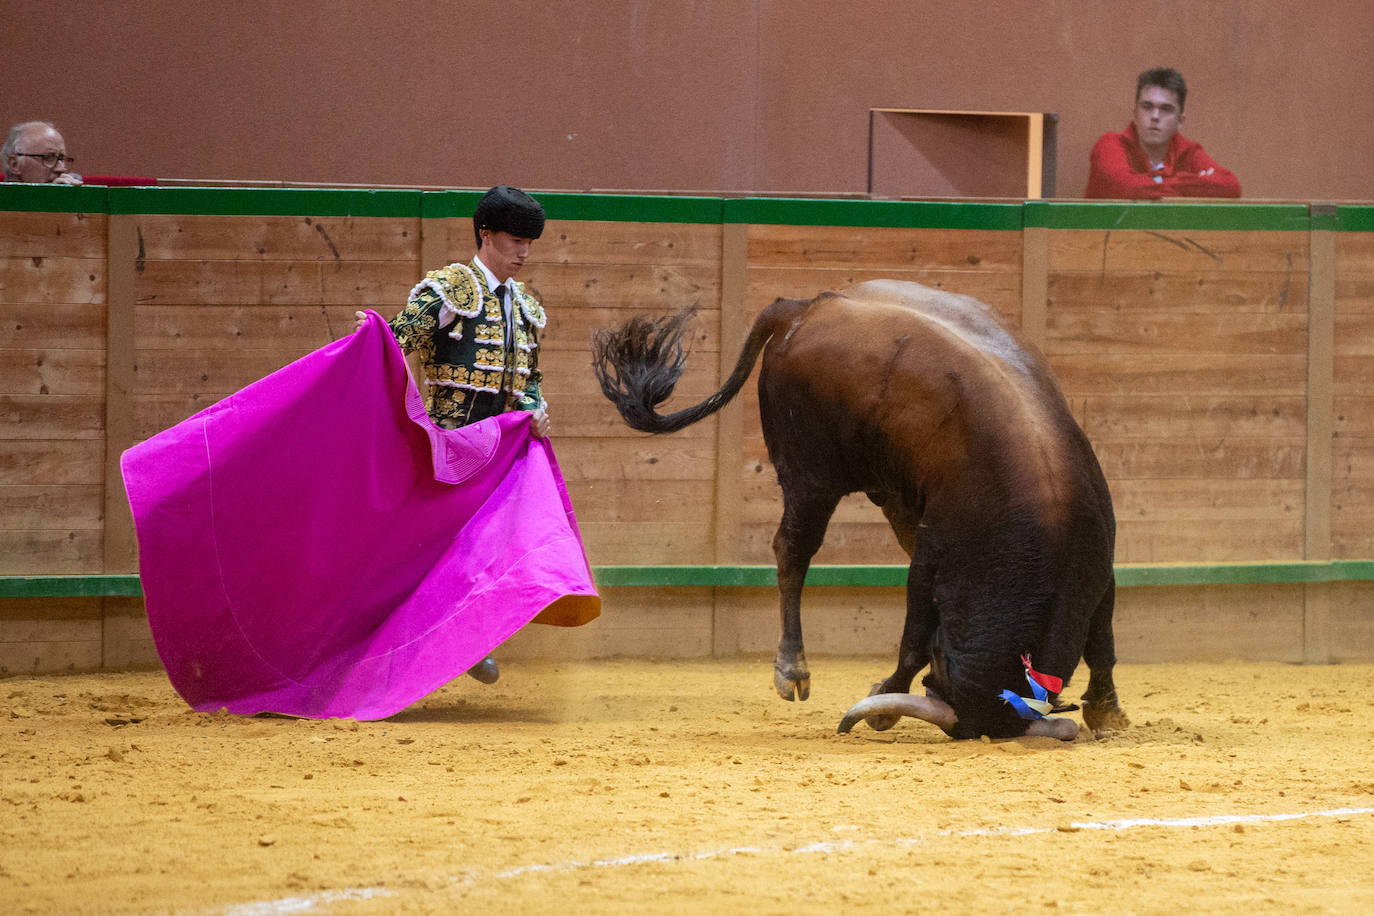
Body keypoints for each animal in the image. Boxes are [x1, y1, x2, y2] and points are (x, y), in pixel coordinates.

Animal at [596, 277, 1132, 736]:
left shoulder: (1100, 563)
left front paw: (1108, 711)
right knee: (792, 550)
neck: (1046, 514)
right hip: (809, 474)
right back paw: (792, 670)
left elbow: (1103, 637)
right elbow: (913, 636)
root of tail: (806, 307)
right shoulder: (934, 555)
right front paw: (885, 701)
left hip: (887, 491)